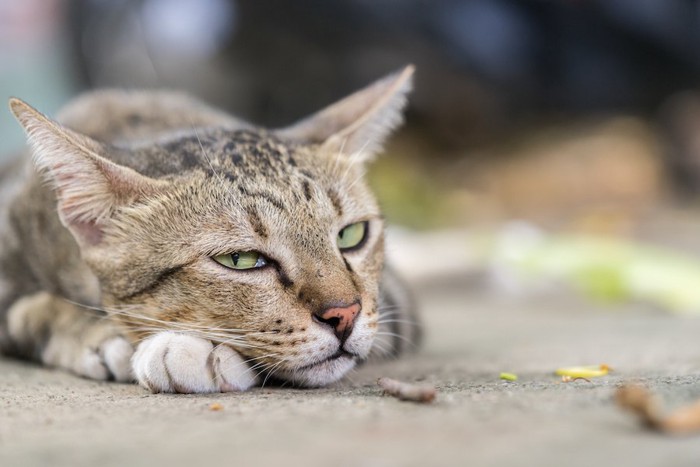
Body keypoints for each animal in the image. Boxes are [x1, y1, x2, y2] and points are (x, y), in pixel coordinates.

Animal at [0, 66, 422, 394]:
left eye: (351, 235)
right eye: (240, 259)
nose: (344, 314)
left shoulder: (394, 306)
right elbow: (33, 309)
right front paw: (105, 338)